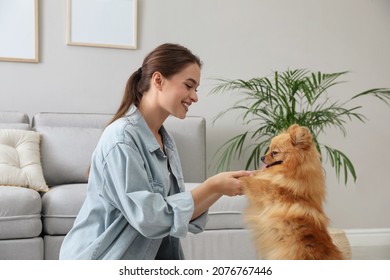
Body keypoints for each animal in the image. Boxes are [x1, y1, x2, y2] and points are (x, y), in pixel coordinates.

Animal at [239, 124, 342, 260]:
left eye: (274, 152)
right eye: (268, 149)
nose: (262, 157)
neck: (291, 174)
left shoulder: (268, 191)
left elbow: (254, 181)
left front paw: (240, 178)